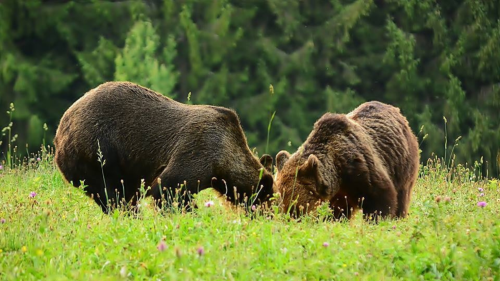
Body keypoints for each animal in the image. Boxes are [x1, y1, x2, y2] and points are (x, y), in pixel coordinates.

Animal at [52, 80, 276, 212]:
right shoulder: (200, 148)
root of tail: (62, 124)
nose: (271, 217)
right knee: (112, 194)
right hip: (97, 150)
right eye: (269, 201)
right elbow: (168, 187)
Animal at [276, 101, 420, 221]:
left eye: (292, 203)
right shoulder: (339, 194)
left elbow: (380, 198)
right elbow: (336, 214)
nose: (285, 218)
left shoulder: (360, 168)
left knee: (402, 196)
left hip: (403, 164)